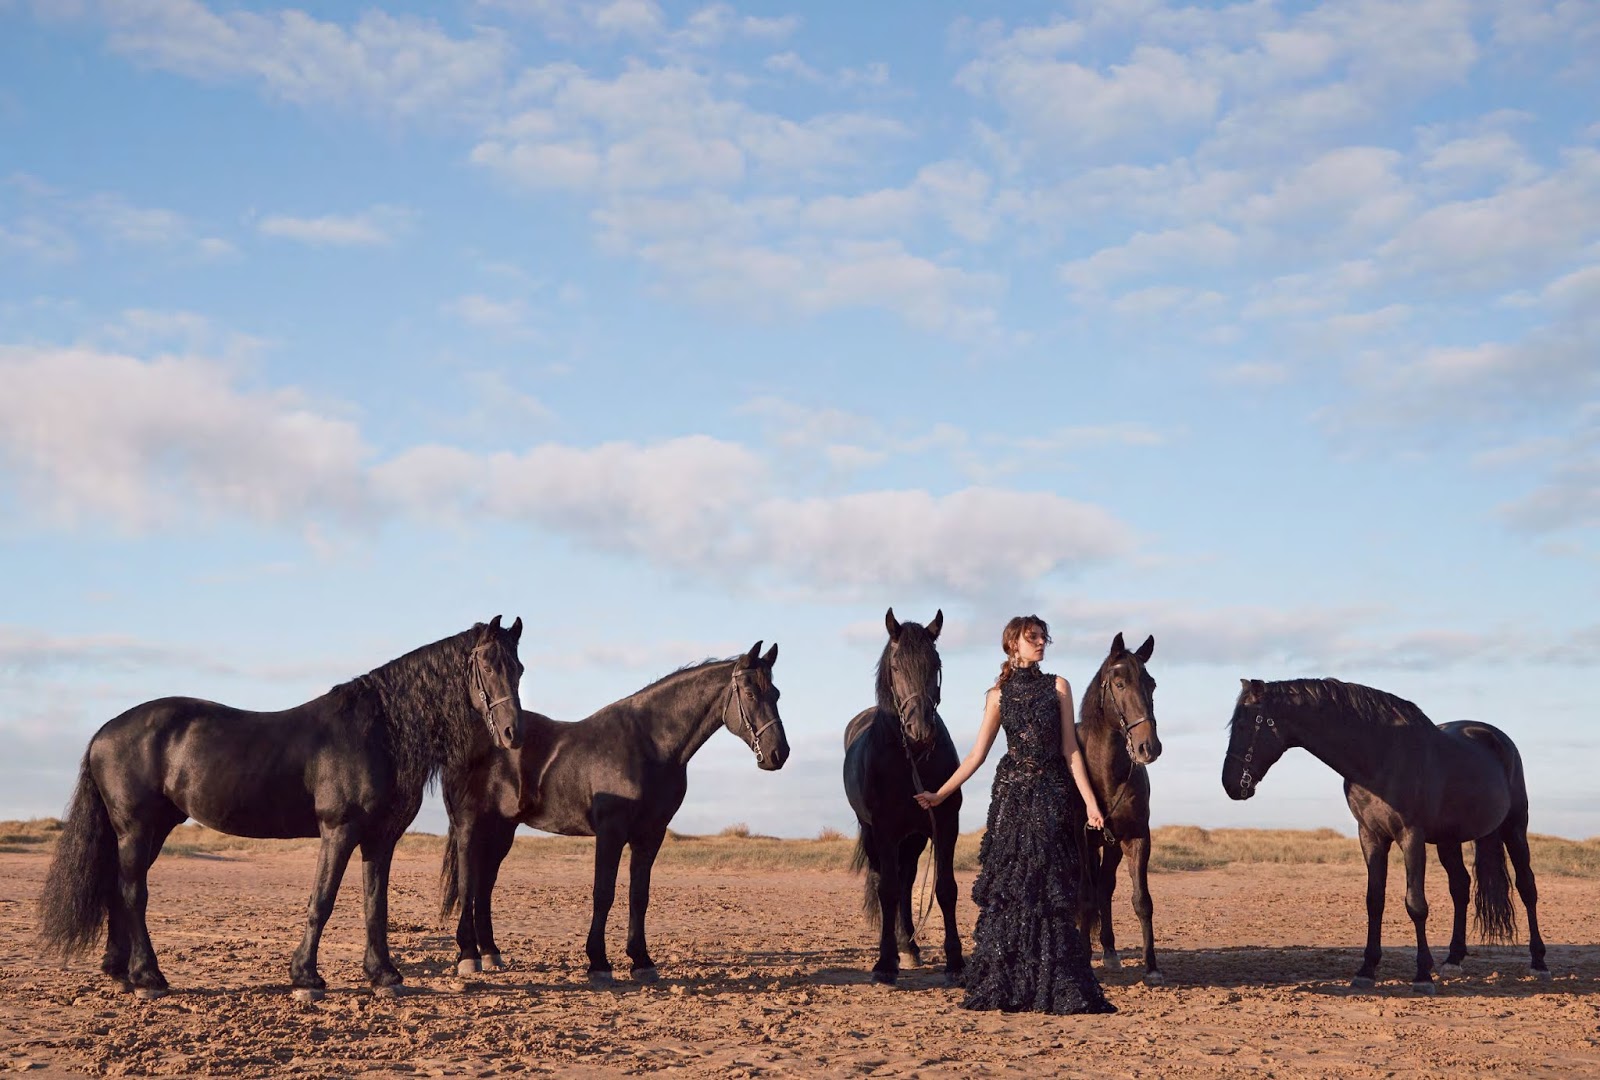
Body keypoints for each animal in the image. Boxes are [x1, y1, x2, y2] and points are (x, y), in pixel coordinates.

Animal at [37, 620, 528, 998]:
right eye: (487, 665)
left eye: (519, 668)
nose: (512, 732)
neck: (379, 731)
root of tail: (104, 731)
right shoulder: (338, 830)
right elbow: (322, 901)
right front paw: (306, 978)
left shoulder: (380, 839)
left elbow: (375, 905)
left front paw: (384, 976)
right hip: (136, 829)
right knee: (133, 894)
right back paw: (149, 979)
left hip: (151, 830)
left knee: (118, 891)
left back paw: (121, 973)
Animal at [438, 643, 787, 985]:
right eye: (751, 694)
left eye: (776, 694)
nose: (778, 753)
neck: (649, 745)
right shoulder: (611, 832)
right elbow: (603, 893)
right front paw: (598, 964)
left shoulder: (651, 835)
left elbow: (639, 896)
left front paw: (642, 961)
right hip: (470, 824)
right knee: (469, 882)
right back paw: (469, 956)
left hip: (502, 829)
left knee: (485, 884)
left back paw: (491, 953)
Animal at [844, 608, 953, 985]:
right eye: (895, 666)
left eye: (935, 662)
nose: (920, 730)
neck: (911, 759)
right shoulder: (885, 829)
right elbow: (887, 890)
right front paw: (885, 964)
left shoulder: (943, 825)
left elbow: (944, 888)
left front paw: (956, 961)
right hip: (874, 835)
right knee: (886, 882)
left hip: (915, 837)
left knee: (906, 881)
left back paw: (910, 946)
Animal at [1075, 633, 1164, 985]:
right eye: (1119, 683)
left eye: (1151, 683)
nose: (1148, 747)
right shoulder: (1083, 841)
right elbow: (1085, 899)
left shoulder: (1136, 838)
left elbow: (1142, 901)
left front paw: (1151, 967)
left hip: (1111, 847)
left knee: (1105, 888)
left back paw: (1110, 952)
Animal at [1222, 681, 1548, 992]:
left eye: (1246, 724)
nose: (1231, 784)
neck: (1381, 755)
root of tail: (1496, 738)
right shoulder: (1371, 836)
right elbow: (1374, 900)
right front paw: (1366, 970)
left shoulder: (1411, 837)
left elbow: (1416, 904)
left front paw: (1422, 976)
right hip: (1448, 841)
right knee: (1460, 887)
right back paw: (1453, 959)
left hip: (1514, 828)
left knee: (1527, 887)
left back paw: (1539, 962)